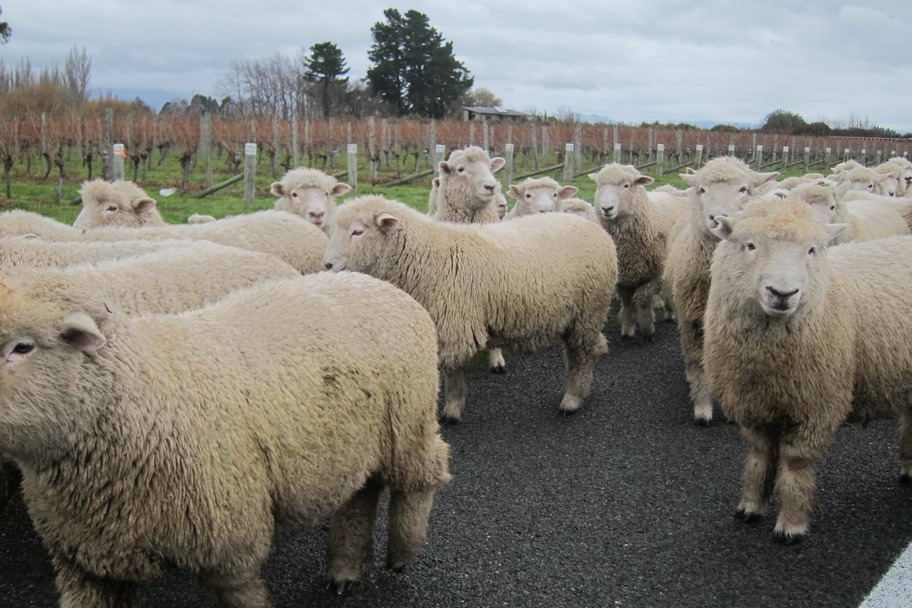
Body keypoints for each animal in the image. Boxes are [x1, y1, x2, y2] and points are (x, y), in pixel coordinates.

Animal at [0, 270, 450, 605]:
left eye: (22, 347)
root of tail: (379, 283)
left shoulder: (228, 541)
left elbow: (241, 591)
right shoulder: (86, 562)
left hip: (409, 421)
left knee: (422, 476)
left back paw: (401, 551)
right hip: (358, 441)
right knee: (362, 494)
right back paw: (344, 569)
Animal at [324, 195, 617, 423]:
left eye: (358, 232)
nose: (327, 265)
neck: (426, 255)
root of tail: (594, 228)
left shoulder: (451, 323)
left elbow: (452, 371)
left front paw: (452, 410)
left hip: (590, 310)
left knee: (583, 353)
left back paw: (573, 398)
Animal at [589, 163, 687, 341]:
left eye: (626, 185)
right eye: (600, 185)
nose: (606, 208)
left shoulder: (655, 275)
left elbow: (642, 300)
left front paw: (647, 328)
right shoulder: (623, 277)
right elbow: (628, 301)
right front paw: (628, 326)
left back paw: (670, 312)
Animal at [662, 156, 779, 425]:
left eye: (743, 189)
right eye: (702, 189)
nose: (718, 218)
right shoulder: (692, 318)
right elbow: (696, 361)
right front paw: (702, 406)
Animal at [702, 195, 912, 544]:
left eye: (812, 250)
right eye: (750, 245)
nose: (783, 294)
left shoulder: (815, 406)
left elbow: (795, 465)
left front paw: (791, 524)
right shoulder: (753, 404)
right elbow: (760, 455)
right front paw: (751, 506)